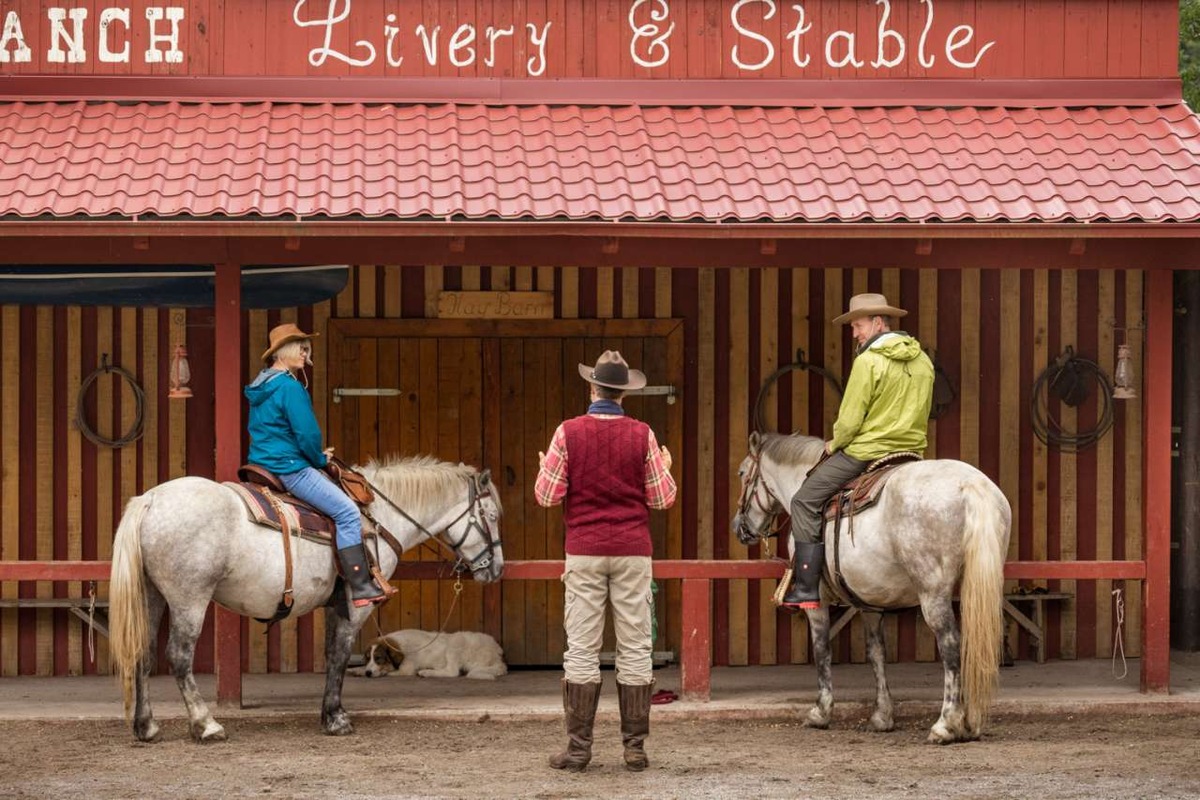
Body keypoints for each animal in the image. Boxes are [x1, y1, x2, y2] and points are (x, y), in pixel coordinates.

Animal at [348, 633, 506, 681]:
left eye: (378, 658)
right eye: (368, 658)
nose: (368, 673)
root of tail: (497, 654)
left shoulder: (406, 669)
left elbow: (388, 671)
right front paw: (357, 670)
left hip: (455, 642)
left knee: (452, 672)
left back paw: (426, 672)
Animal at [734, 431, 1008, 743]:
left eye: (742, 473)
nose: (740, 527)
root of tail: (970, 485)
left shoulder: (818, 600)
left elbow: (821, 648)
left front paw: (820, 712)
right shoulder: (870, 600)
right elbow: (876, 653)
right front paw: (882, 716)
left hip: (933, 594)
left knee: (950, 645)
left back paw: (946, 724)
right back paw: (971, 722)